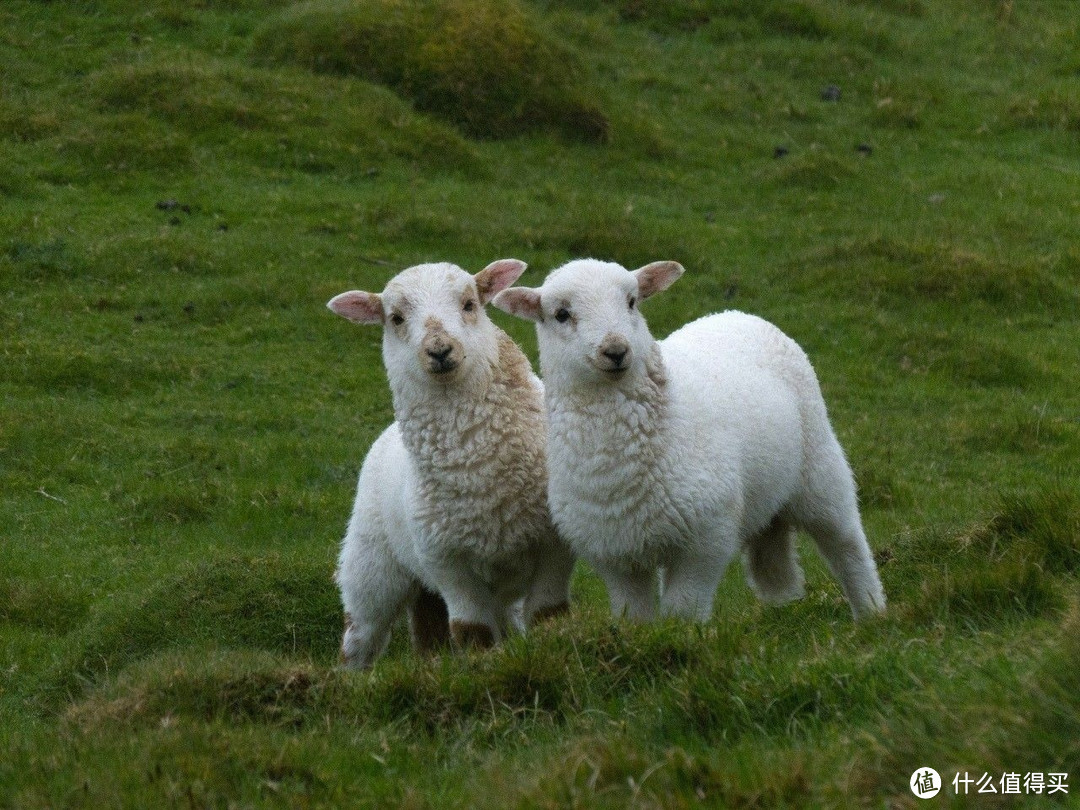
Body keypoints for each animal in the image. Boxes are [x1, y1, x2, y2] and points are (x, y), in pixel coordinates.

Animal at [326, 261, 574, 673]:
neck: (478, 471)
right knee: (361, 634)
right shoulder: (446, 561)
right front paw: (482, 668)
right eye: (395, 318)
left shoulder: (555, 545)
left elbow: (548, 613)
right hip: (373, 564)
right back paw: (352, 677)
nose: (440, 350)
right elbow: (472, 631)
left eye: (470, 304)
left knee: (434, 624)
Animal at [494, 258, 885, 622]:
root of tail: (734, 314)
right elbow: (635, 617)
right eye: (561, 314)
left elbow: (683, 611)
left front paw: (683, 639)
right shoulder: (614, 554)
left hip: (819, 464)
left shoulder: (706, 539)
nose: (616, 351)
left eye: (632, 301)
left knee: (846, 542)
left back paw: (871, 611)